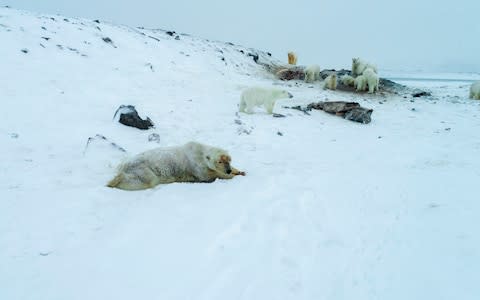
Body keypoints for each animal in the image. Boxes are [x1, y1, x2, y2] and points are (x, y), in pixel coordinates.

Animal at [107, 141, 246, 190]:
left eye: (229, 160)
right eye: (219, 161)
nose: (228, 170)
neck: (199, 152)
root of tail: (123, 165)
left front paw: (240, 171)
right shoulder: (196, 166)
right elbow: (209, 175)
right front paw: (230, 176)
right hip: (142, 168)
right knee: (146, 180)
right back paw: (114, 181)